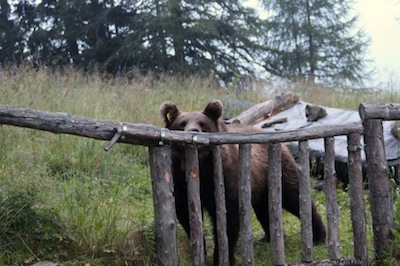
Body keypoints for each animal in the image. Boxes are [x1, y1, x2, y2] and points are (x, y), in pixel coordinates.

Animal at [159, 99, 324, 264]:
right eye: (182, 123)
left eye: (202, 123)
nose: (193, 130)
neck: (201, 166)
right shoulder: (180, 180)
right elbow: (186, 214)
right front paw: (200, 249)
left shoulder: (224, 178)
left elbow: (228, 219)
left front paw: (222, 257)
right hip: (261, 185)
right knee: (265, 209)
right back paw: (268, 237)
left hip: (279, 169)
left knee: (295, 197)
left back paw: (318, 236)